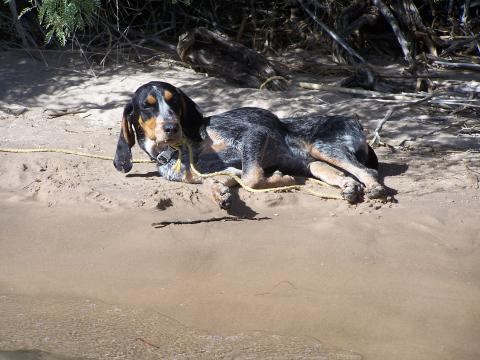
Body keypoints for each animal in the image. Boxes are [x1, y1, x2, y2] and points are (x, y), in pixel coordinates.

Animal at [113, 80, 386, 207]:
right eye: (147, 106)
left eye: (174, 102)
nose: (171, 128)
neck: (180, 150)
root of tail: (355, 121)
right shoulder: (226, 173)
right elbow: (215, 181)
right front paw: (218, 194)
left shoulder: (254, 134)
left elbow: (252, 176)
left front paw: (280, 179)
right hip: (314, 163)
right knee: (342, 174)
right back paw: (349, 187)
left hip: (324, 147)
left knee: (368, 171)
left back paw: (374, 189)